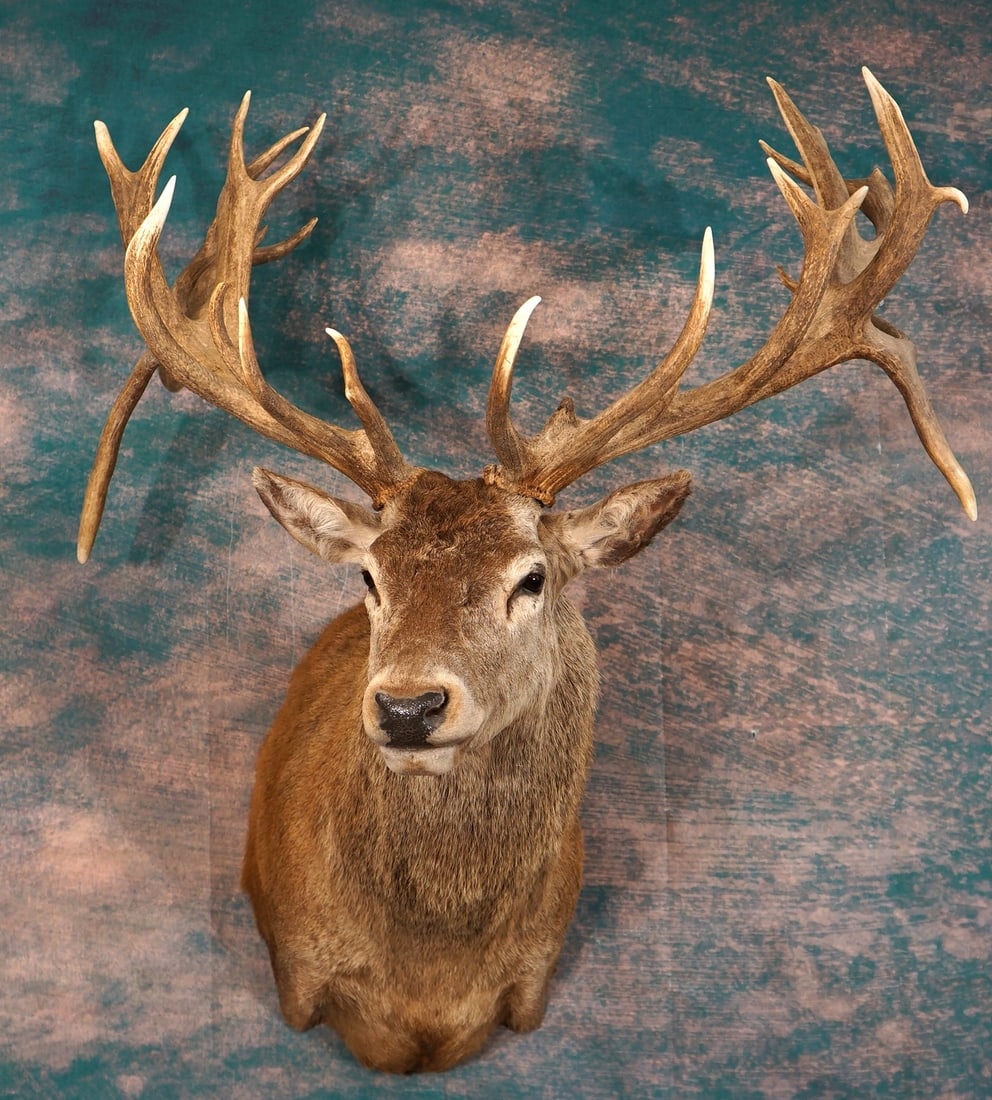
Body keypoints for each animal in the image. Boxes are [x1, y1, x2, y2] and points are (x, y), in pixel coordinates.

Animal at [78, 69, 973, 1073]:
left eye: (532, 579)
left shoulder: (536, 977)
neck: (429, 977)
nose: (408, 707)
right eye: (369, 578)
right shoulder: (298, 968)